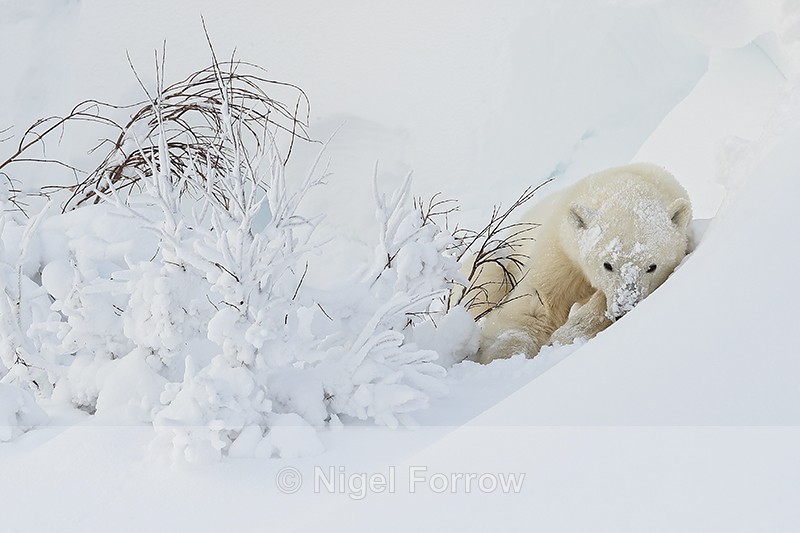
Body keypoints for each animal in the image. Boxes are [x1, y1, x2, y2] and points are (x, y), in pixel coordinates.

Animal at [468, 162, 692, 364]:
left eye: (652, 267)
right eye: (607, 264)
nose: (624, 310)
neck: (628, 183)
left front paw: (566, 333)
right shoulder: (559, 254)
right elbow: (534, 307)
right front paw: (502, 357)